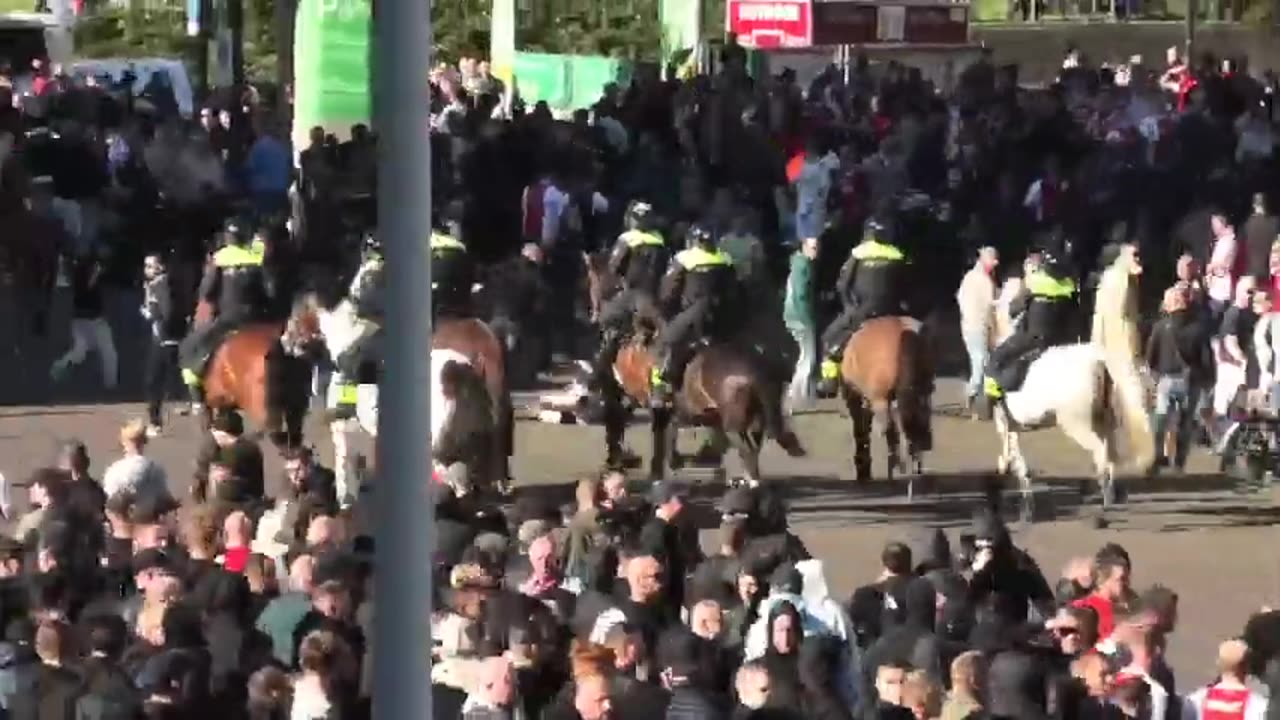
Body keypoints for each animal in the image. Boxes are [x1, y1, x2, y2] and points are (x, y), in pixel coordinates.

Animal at [834, 313, 936, 491]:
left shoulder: (858, 398)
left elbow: (862, 432)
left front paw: (864, 469)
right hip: (921, 393)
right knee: (915, 426)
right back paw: (914, 467)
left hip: (880, 400)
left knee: (889, 429)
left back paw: (895, 468)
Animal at [983, 243, 1157, 517]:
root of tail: (1100, 360)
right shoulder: (1011, 427)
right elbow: (1014, 460)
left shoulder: (1005, 424)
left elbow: (1019, 464)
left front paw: (1027, 507)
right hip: (1103, 419)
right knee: (1110, 454)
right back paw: (1111, 494)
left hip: (1077, 423)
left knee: (1101, 454)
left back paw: (1104, 499)